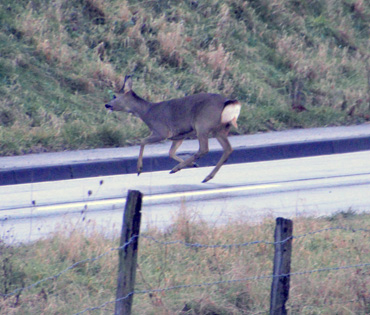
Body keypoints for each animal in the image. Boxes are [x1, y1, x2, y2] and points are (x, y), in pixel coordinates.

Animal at [105, 76, 243, 183]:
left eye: (115, 95)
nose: (107, 105)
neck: (147, 113)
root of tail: (229, 103)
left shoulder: (161, 131)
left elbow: (142, 141)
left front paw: (139, 169)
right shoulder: (178, 136)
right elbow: (171, 152)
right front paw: (193, 164)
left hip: (202, 124)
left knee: (204, 149)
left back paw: (176, 169)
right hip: (220, 129)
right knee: (228, 149)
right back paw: (206, 176)